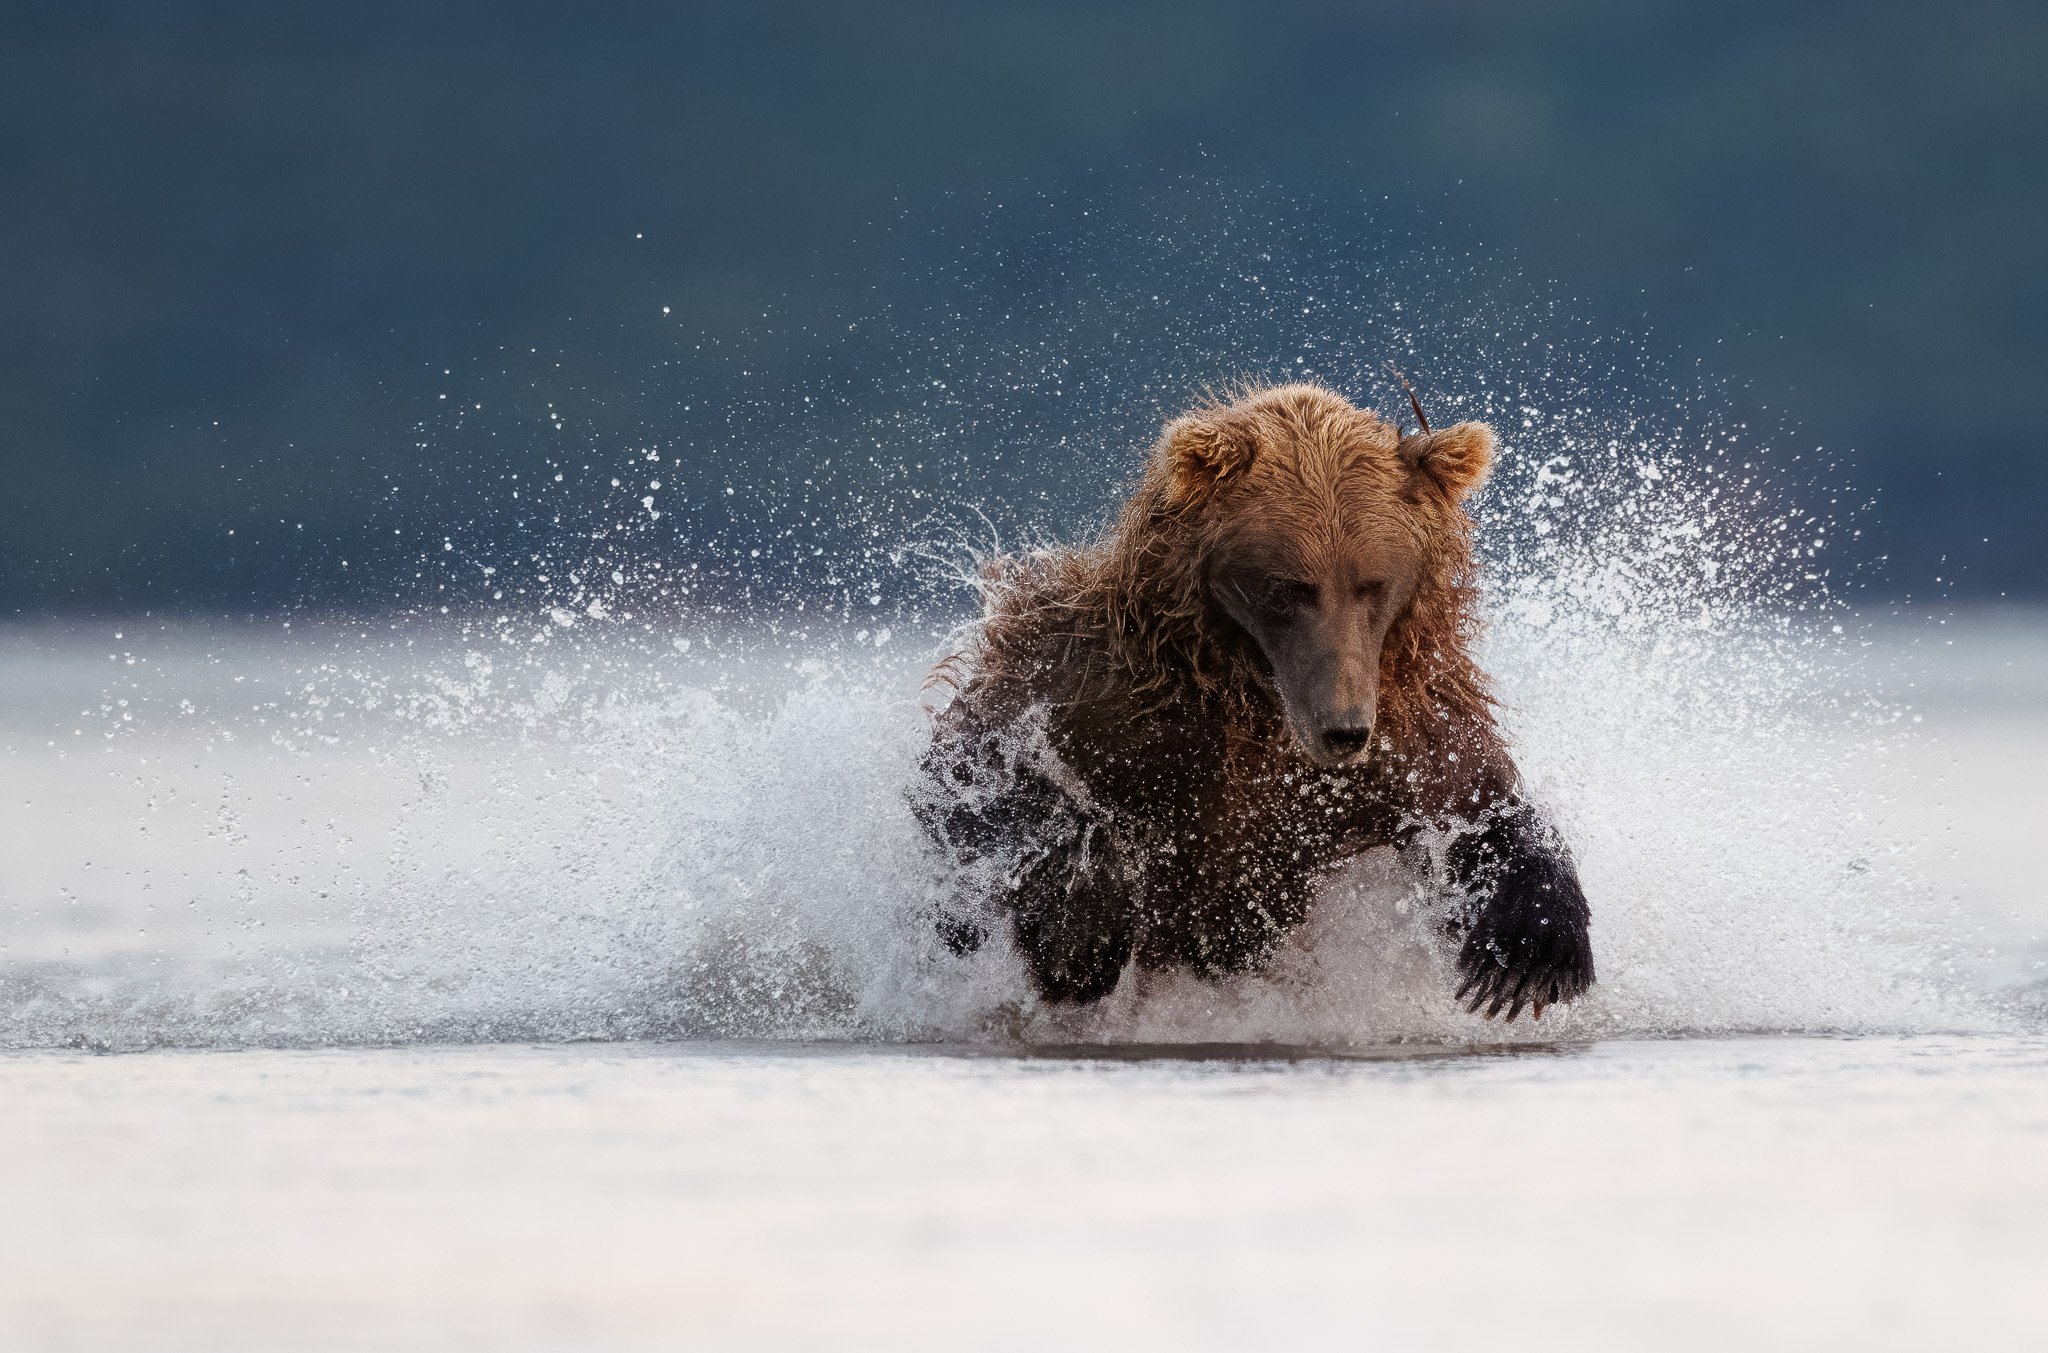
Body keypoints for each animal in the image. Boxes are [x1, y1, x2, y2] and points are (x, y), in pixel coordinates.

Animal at [914, 381, 1593, 1022]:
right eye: (1293, 586)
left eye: (1372, 582)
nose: (1343, 729)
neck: (1259, 697)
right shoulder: (1100, 688)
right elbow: (973, 777)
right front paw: (1082, 929)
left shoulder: (1405, 732)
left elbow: (1479, 808)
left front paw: (1527, 959)